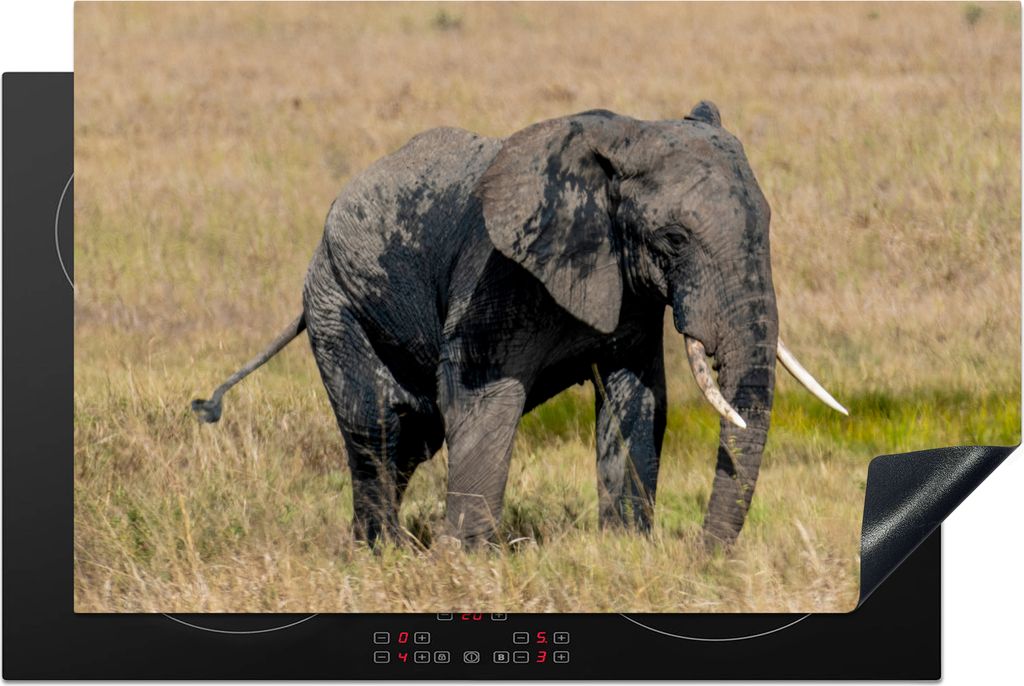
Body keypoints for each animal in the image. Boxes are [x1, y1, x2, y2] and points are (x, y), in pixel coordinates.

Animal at [192, 101, 847, 549]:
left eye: (767, 226)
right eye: (673, 240)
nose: (702, 557)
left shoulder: (629, 292)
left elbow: (637, 399)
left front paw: (626, 550)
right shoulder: (499, 274)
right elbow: (483, 401)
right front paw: (462, 563)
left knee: (410, 437)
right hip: (335, 299)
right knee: (377, 423)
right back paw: (382, 553)